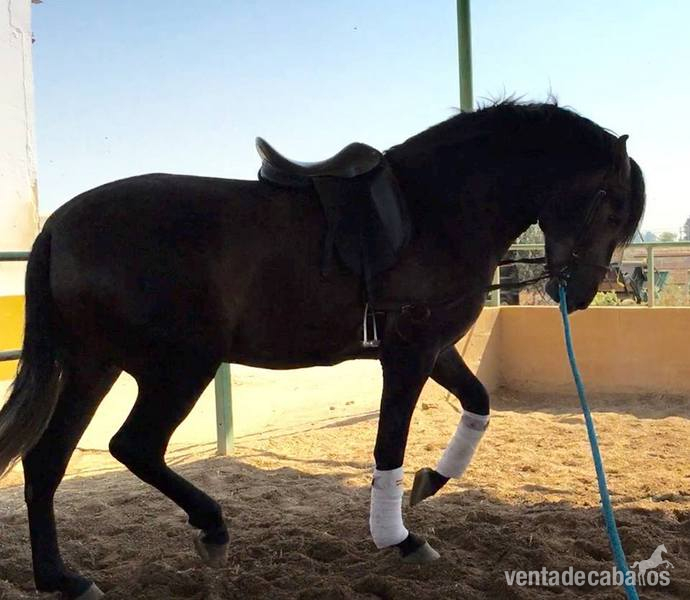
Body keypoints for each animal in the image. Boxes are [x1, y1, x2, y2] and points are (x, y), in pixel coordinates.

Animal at [0, 101, 645, 599]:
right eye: (611, 203)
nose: (580, 293)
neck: (437, 209)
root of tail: (58, 226)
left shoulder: (435, 349)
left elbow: (479, 403)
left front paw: (433, 479)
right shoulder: (408, 355)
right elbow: (389, 444)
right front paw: (398, 537)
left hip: (94, 368)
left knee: (47, 461)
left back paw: (62, 577)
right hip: (178, 368)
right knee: (132, 446)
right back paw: (210, 528)